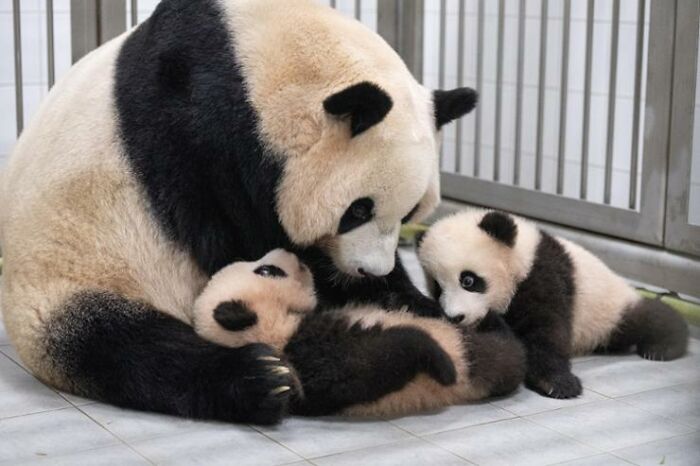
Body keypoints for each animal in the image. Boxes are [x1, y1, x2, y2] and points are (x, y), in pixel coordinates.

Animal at [0, 0, 476, 426]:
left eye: (412, 211)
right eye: (357, 210)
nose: (368, 271)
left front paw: (417, 303)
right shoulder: (197, 129)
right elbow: (237, 238)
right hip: (68, 279)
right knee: (124, 347)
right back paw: (261, 380)